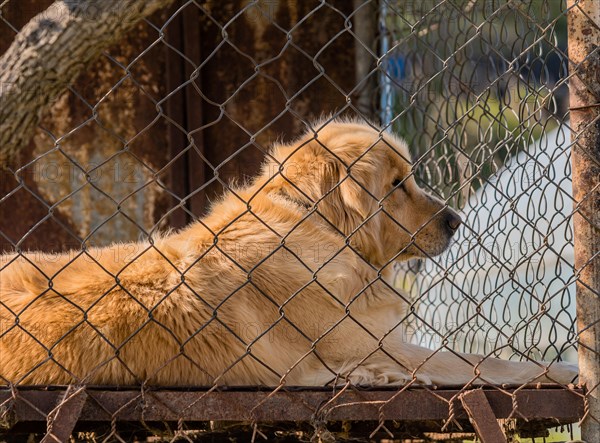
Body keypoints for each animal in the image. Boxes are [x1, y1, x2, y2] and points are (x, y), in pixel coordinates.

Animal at [1, 119, 580, 386]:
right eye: (397, 185)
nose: (456, 221)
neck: (318, 223)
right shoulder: (372, 345)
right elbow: (483, 361)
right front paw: (564, 372)